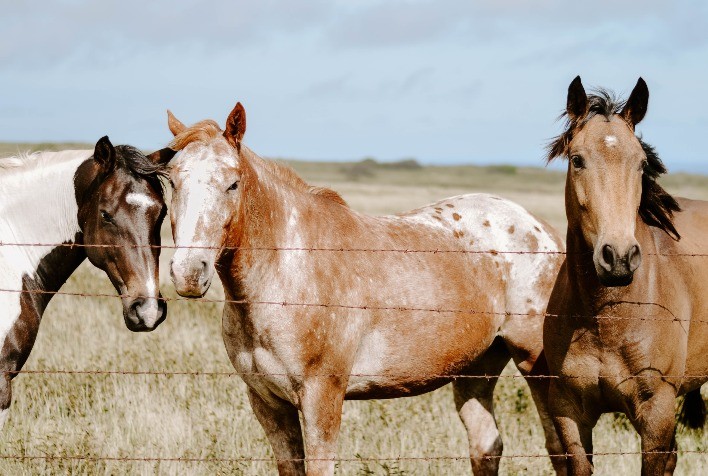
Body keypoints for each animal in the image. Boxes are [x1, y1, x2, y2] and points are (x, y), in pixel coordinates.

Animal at [163, 104, 568, 476]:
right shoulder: (268, 402)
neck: (286, 274)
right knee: (487, 446)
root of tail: (541, 228)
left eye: (232, 184)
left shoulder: (321, 397)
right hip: (477, 370)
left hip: (536, 365)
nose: (189, 272)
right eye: (173, 183)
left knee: (561, 447)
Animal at [544, 76, 704, 474]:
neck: (607, 320)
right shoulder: (569, 412)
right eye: (577, 160)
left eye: (641, 162)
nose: (618, 257)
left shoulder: (657, 411)